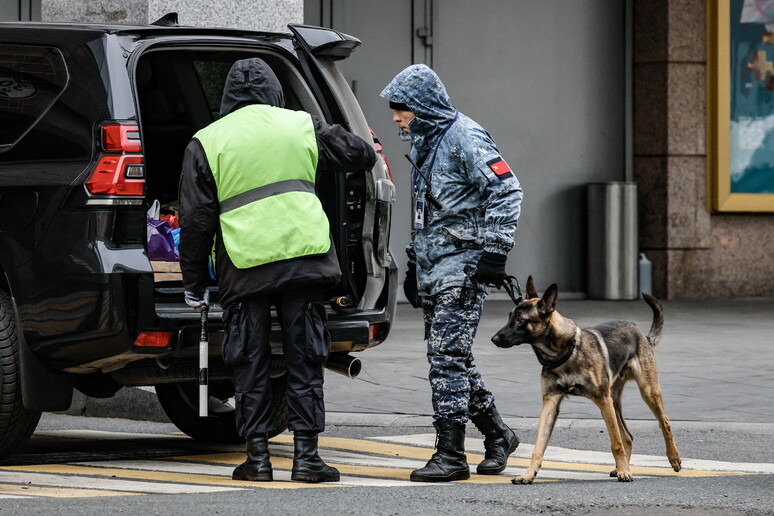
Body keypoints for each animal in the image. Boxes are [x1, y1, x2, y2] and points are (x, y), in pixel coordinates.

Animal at [494, 278, 684, 484]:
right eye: (510, 316)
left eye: (520, 319)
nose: (494, 339)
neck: (566, 352)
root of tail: (641, 333)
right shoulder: (550, 403)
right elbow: (538, 447)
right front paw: (528, 474)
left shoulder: (602, 399)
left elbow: (615, 443)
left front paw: (625, 472)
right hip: (613, 402)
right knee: (627, 436)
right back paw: (621, 467)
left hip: (645, 392)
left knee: (663, 422)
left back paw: (672, 458)